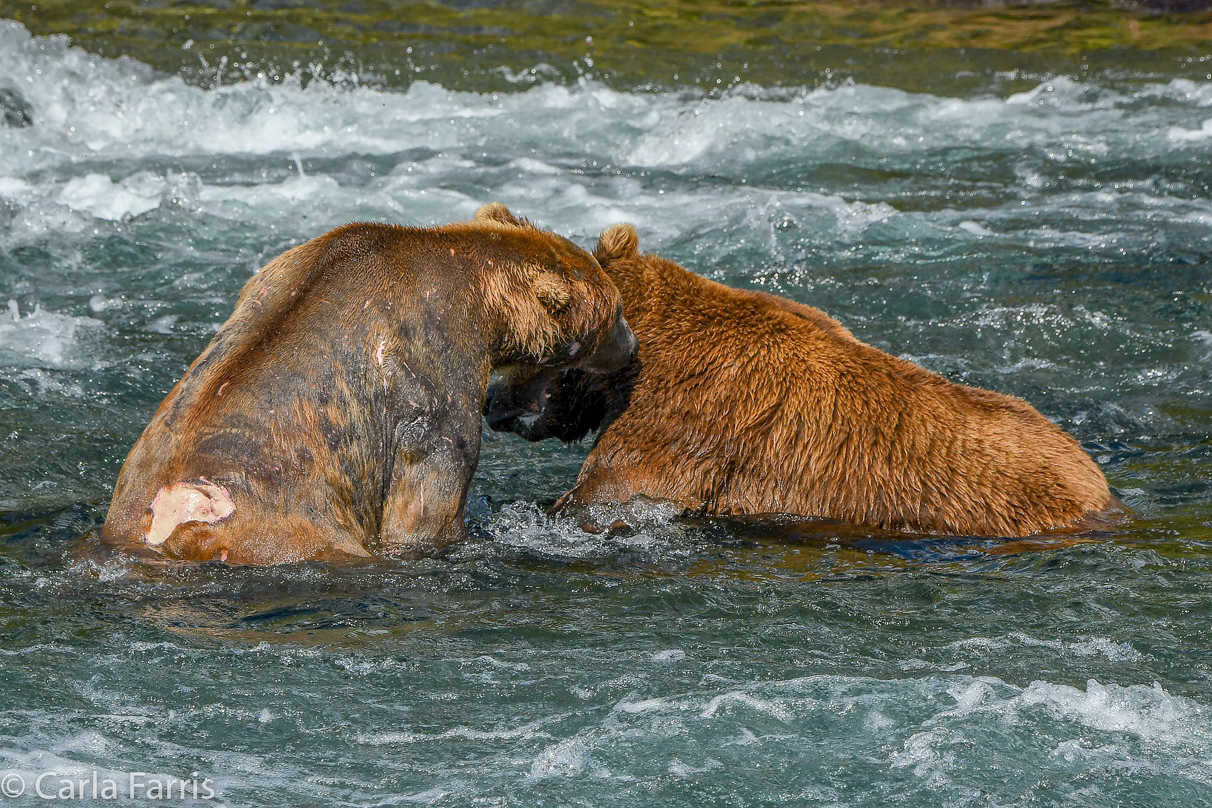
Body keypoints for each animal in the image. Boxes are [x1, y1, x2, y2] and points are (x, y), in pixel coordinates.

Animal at [101, 205, 644, 566]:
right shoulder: (433, 365)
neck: (482, 300)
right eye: (616, 311)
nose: (633, 346)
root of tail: (166, 521)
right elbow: (426, 498)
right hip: (285, 530)